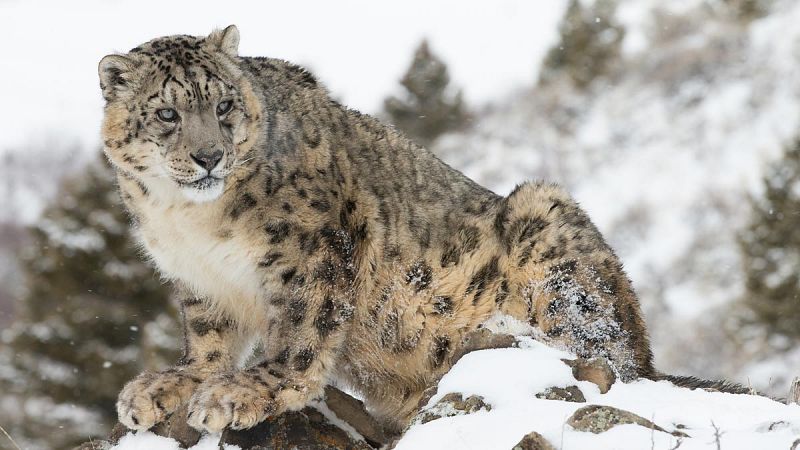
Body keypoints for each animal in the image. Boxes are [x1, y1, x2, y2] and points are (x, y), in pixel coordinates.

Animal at [100, 24, 744, 436]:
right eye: (167, 113)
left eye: (225, 105)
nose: (209, 156)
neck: (191, 222)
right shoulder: (201, 282)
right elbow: (208, 341)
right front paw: (169, 386)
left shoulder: (313, 250)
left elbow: (301, 333)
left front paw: (242, 393)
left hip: (551, 229)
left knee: (605, 355)